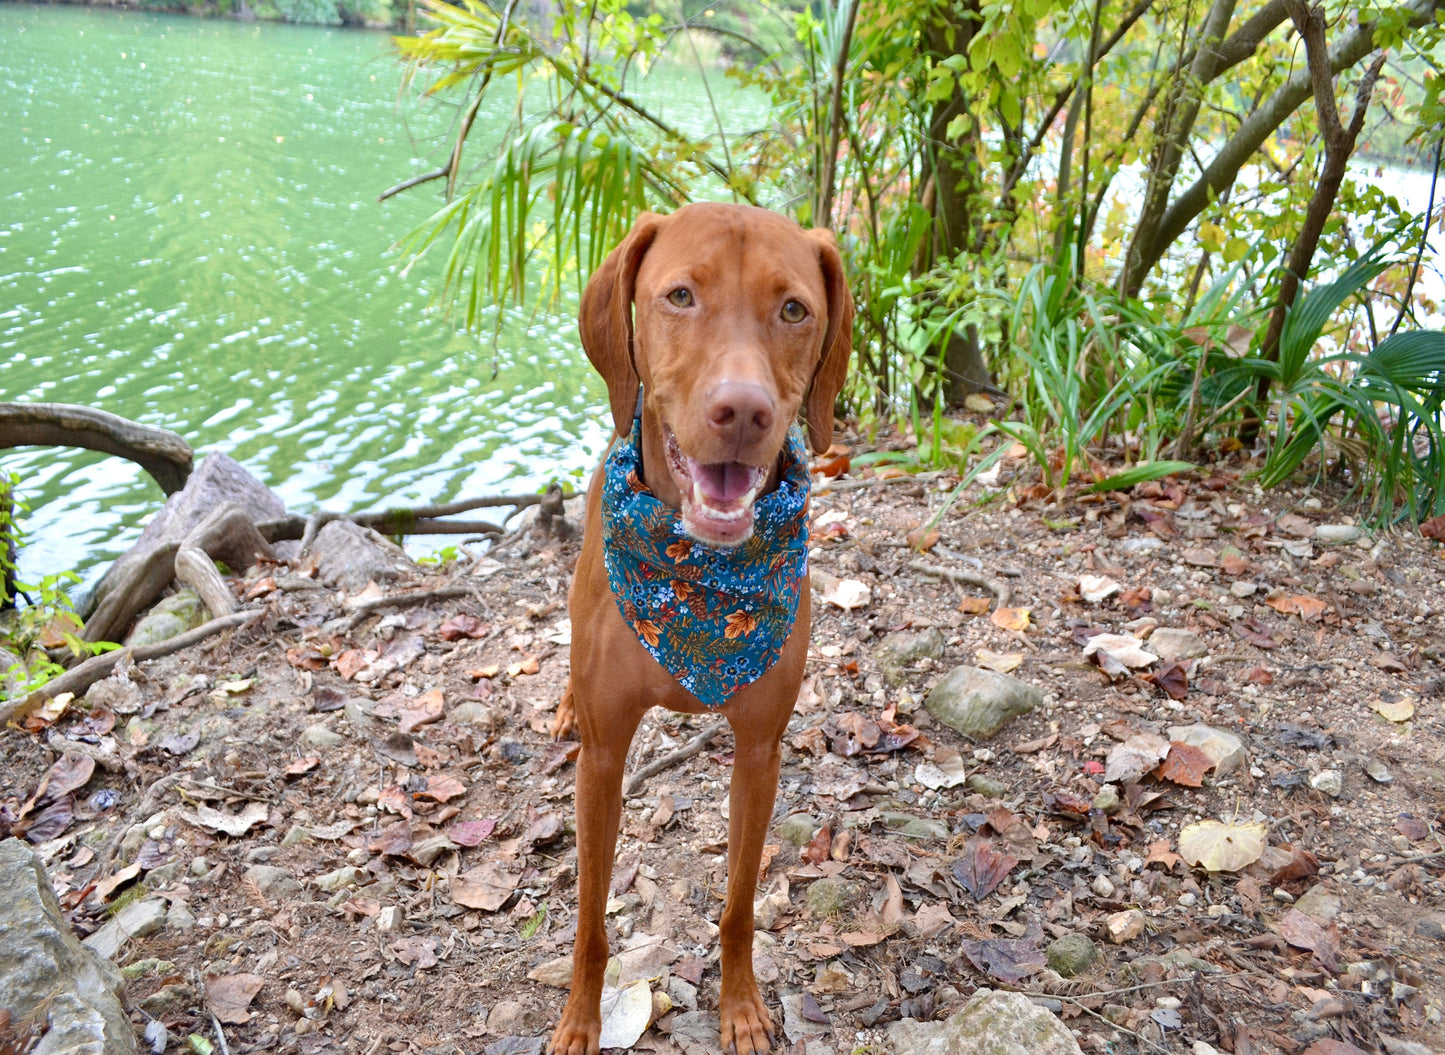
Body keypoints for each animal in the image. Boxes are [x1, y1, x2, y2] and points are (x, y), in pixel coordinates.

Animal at [546, 199, 849, 1052]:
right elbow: (590, 921)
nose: (742, 410)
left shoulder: (759, 751)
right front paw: (579, 1022)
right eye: (680, 295)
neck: (699, 595)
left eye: (793, 309)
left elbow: (740, 904)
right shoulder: (603, 758)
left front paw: (740, 1006)